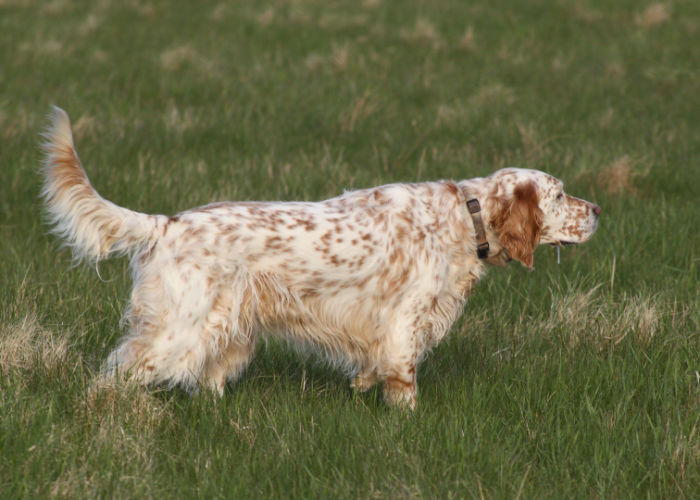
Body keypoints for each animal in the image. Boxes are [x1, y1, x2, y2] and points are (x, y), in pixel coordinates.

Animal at [41, 107, 600, 408]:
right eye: (559, 194)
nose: (597, 210)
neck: (464, 218)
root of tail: (166, 223)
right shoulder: (405, 321)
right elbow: (403, 379)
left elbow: (373, 367)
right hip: (176, 331)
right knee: (114, 374)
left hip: (231, 331)